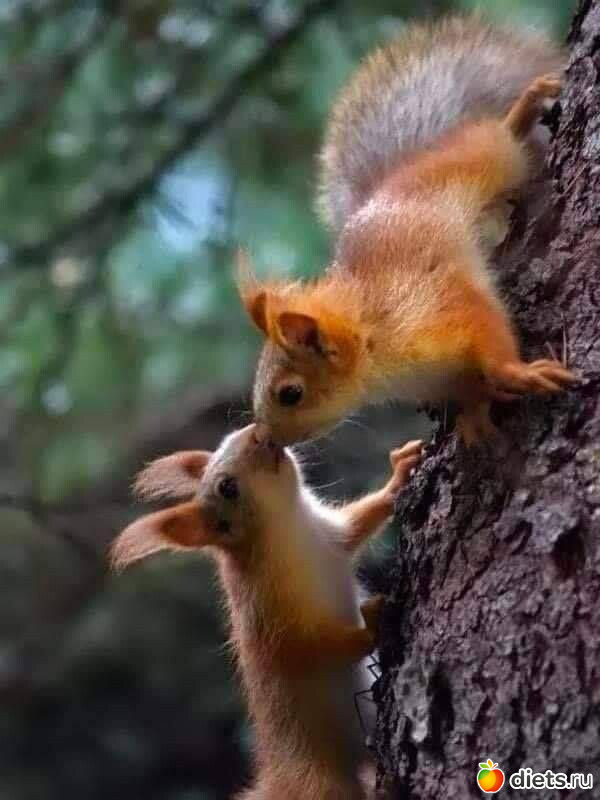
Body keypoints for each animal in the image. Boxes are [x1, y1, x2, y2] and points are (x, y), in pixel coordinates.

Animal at [111, 424, 423, 800]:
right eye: (227, 488)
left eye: (226, 439)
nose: (258, 433)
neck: (289, 528)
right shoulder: (267, 617)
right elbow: (308, 649)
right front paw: (373, 621)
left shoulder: (331, 535)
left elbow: (359, 523)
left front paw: (400, 473)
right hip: (321, 783)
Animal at [237, 15, 576, 446]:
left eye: (290, 393)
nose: (263, 440)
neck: (373, 339)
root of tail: (402, 168)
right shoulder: (440, 377)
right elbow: (470, 387)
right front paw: (474, 412)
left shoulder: (438, 308)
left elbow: (486, 326)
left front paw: (517, 373)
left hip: (477, 160)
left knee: (497, 138)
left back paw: (524, 108)